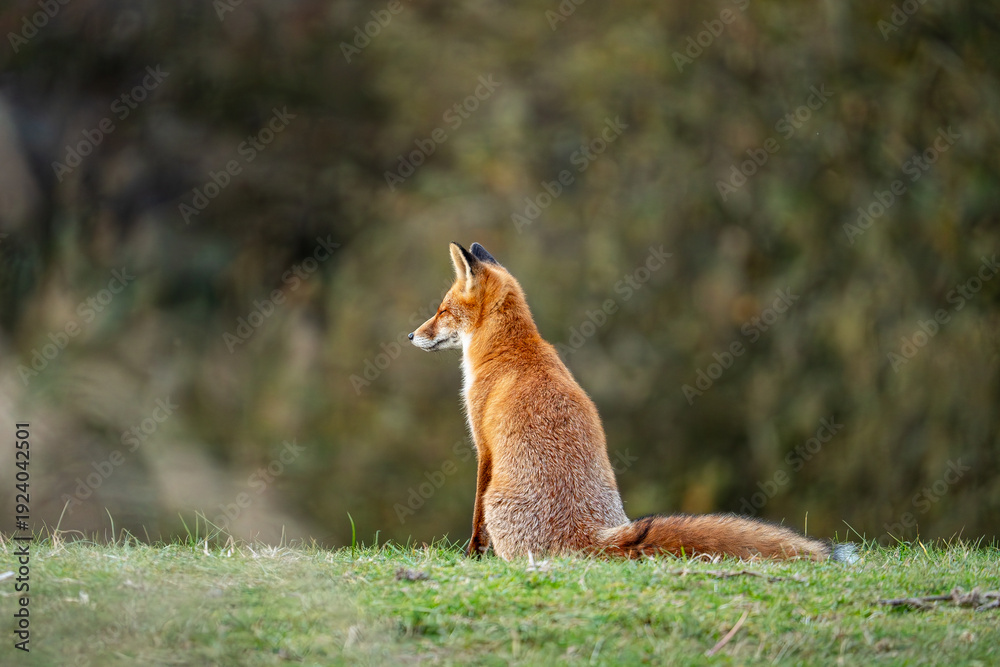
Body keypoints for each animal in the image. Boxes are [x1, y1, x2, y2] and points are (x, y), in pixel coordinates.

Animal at [409, 242, 855, 563]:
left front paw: (471, 556)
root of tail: (590, 536)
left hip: (499, 498)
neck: (513, 351)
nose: (410, 337)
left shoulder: (484, 448)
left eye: (442, 311)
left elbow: (475, 519)